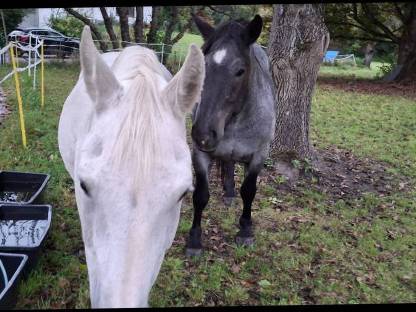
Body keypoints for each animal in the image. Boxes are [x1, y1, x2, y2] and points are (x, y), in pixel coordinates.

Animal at [187, 14, 274, 256]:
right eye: (202, 67)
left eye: (240, 71)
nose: (203, 133)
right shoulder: (200, 153)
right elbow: (200, 195)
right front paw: (194, 240)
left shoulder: (259, 155)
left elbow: (249, 191)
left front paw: (245, 231)